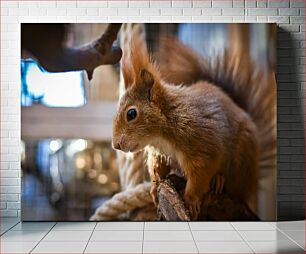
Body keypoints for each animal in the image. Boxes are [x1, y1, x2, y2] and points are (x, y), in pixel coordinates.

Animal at [112, 34, 274, 219]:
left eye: (131, 114)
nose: (116, 145)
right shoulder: (160, 153)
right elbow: (158, 169)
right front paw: (154, 188)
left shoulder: (203, 145)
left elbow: (199, 176)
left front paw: (190, 199)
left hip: (241, 162)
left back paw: (219, 180)